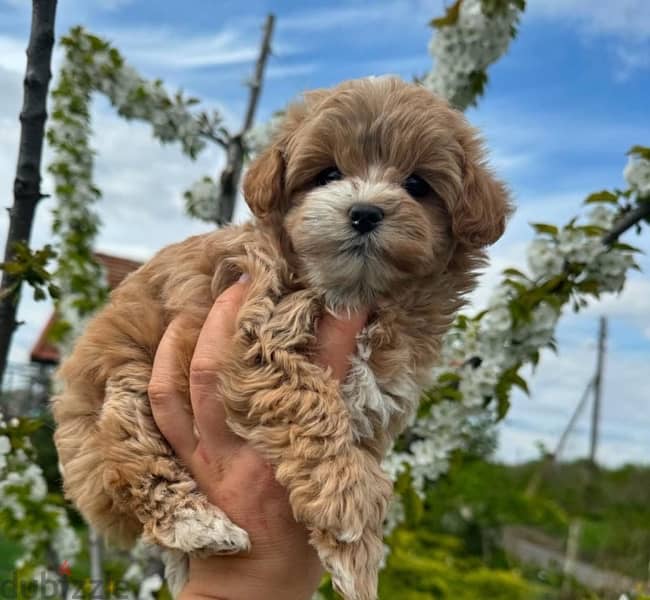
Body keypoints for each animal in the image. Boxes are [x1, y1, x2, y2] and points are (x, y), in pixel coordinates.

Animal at [53, 76, 508, 600]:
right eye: (328, 174)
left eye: (417, 185)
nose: (364, 212)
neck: (356, 293)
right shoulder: (255, 334)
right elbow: (311, 403)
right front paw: (345, 505)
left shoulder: (382, 395)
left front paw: (354, 553)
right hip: (124, 384)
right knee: (133, 460)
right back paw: (198, 525)